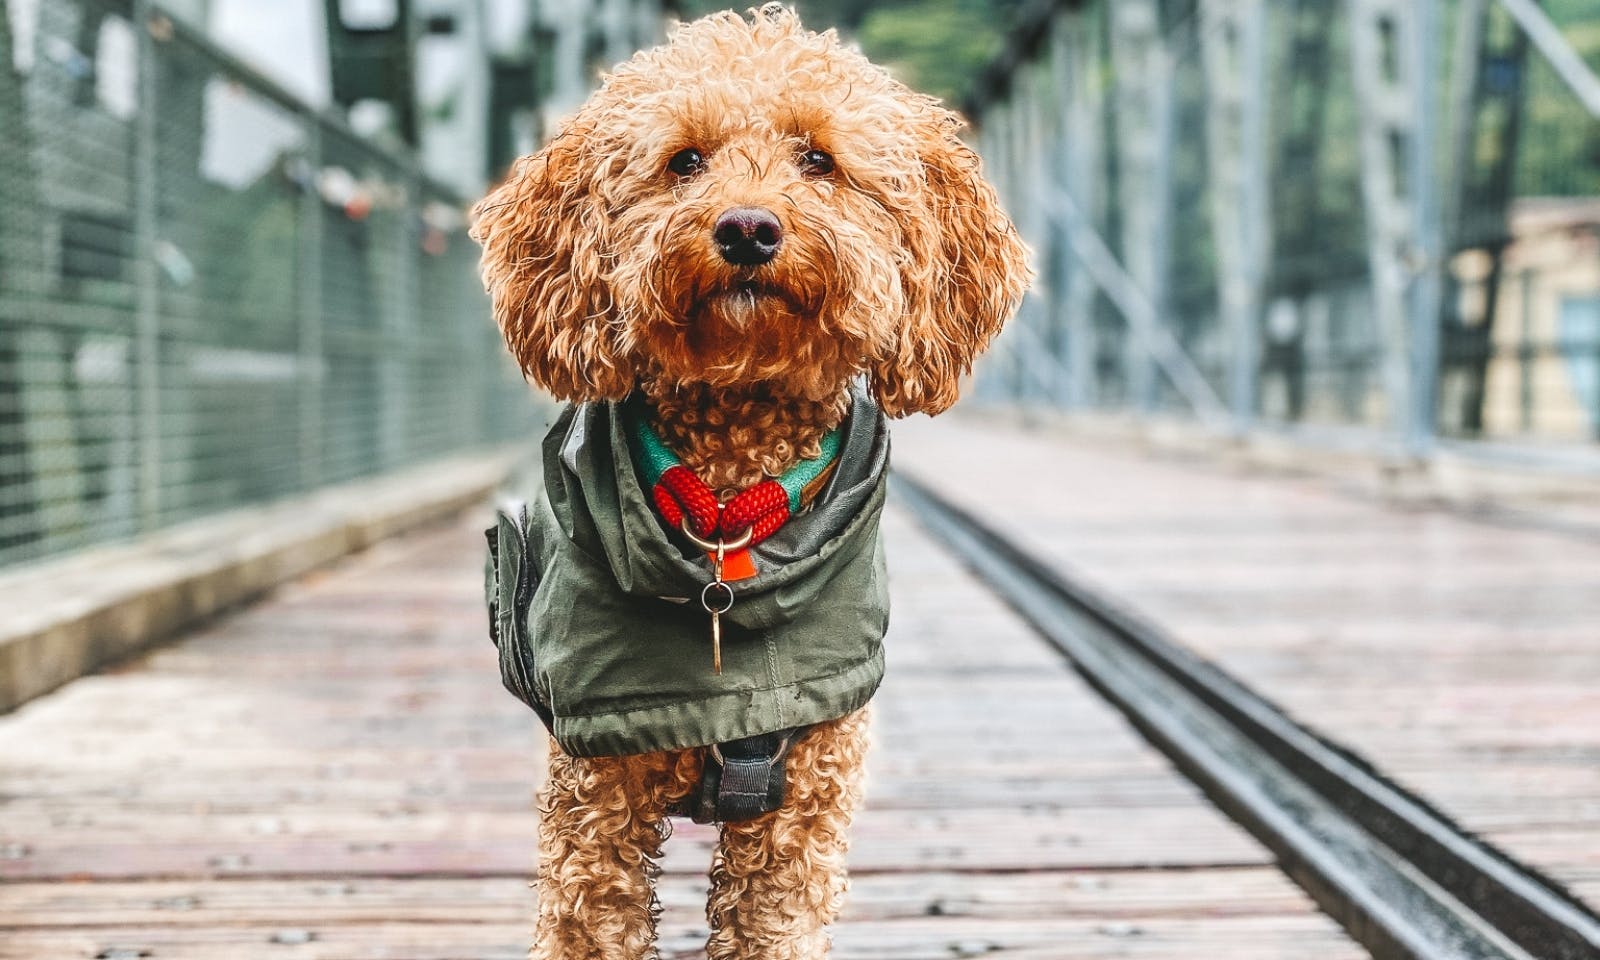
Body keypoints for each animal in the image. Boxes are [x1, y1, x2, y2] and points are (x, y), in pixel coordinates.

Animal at [467, 3, 1030, 953]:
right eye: (685, 161)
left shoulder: (802, 800)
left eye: (819, 160)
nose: (748, 229)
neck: (729, 509)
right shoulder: (595, 800)